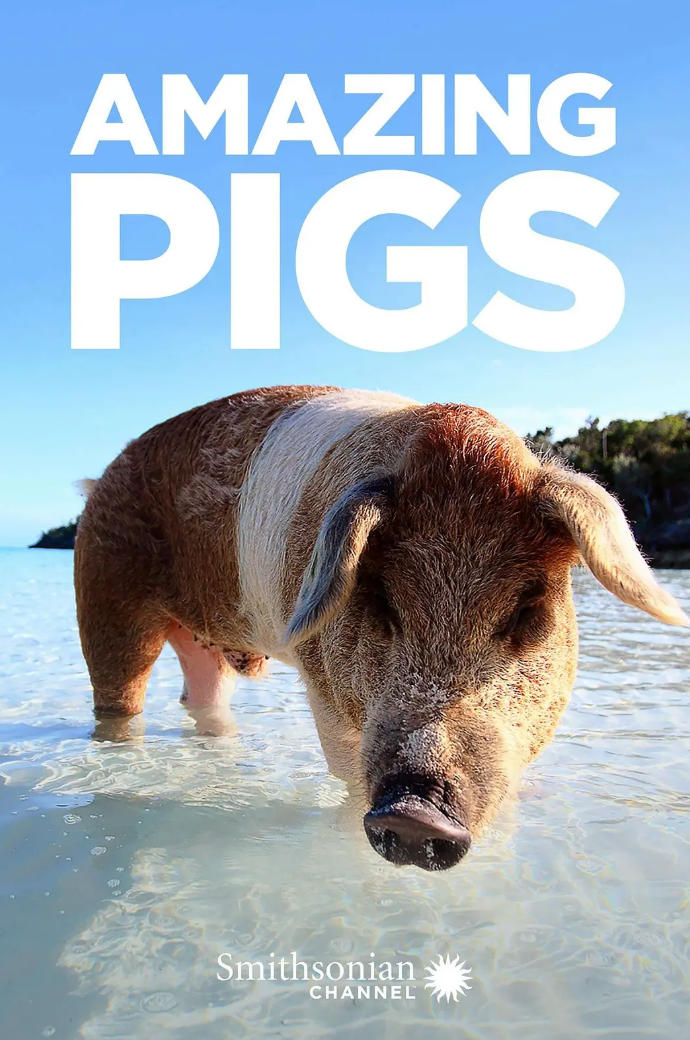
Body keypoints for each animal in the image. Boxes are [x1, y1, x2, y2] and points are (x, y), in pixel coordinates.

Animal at [74, 385, 688, 871]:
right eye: (381, 600)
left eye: (527, 611)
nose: (417, 814)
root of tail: (98, 480)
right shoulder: (323, 688)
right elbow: (347, 774)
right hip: (103, 598)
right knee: (119, 698)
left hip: (203, 646)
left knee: (202, 699)